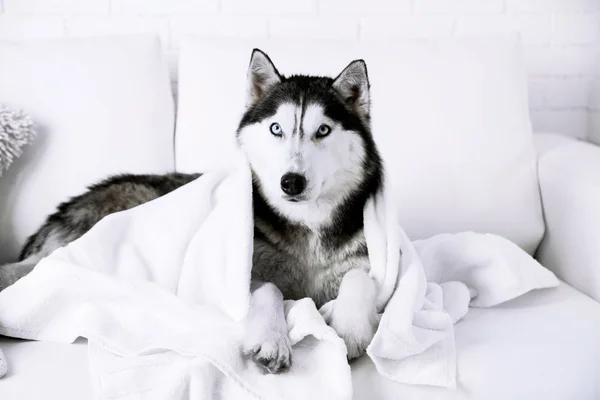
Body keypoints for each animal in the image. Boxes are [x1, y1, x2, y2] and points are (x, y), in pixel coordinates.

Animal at [0, 50, 384, 376]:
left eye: (323, 130)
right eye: (276, 128)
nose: (290, 182)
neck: (306, 228)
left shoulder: (363, 261)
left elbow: (360, 278)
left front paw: (350, 329)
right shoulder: (240, 275)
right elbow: (270, 290)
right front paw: (272, 340)